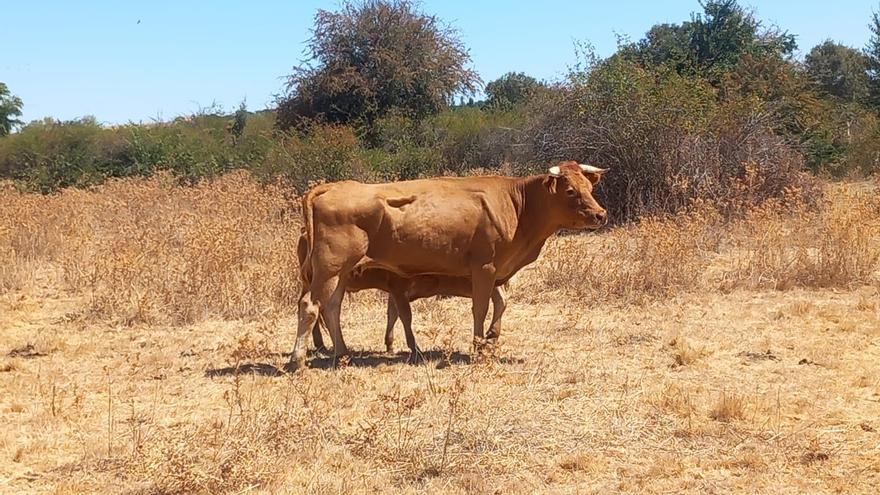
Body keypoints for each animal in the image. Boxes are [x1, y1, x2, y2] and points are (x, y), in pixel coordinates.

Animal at [292, 161, 608, 370]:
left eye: (589, 187)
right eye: (570, 190)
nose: (600, 214)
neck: (517, 205)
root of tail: (330, 188)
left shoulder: (496, 274)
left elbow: (499, 303)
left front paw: (490, 339)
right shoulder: (484, 268)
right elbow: (481, 307)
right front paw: (478, 348)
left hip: (340, 272)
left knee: (331, 307)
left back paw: (342, 354)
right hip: (330, 268)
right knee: (310, 306)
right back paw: (298, 359)